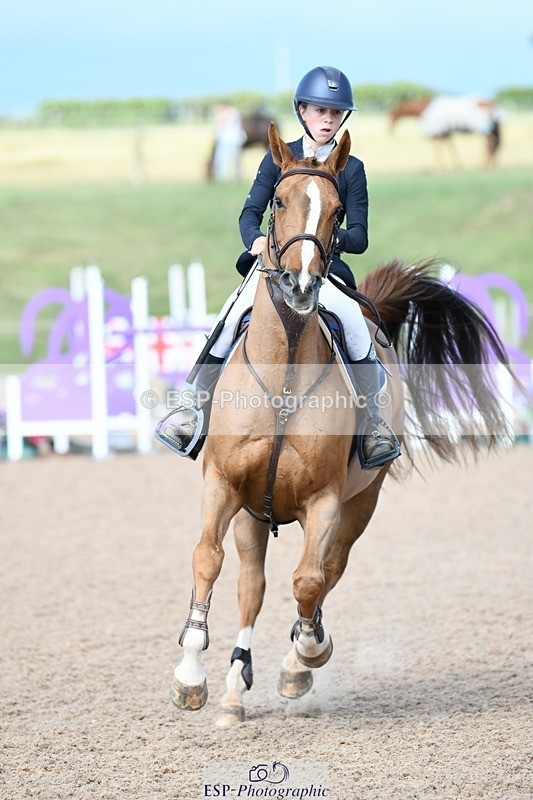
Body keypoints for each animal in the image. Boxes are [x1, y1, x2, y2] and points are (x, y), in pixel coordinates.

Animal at [172, 123, 511, 727]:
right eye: (279, 200)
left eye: (335, 211)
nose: (302, 285)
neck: (283, 371)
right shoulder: (223, 485)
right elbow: (206, 560)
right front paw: (190, 676)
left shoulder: (326, 500)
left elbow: (310, 580)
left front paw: (306, 656)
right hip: (253, 515)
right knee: (252, 586)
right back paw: (234, 689)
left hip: (359, 506)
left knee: (326, 571)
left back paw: (293, 660)